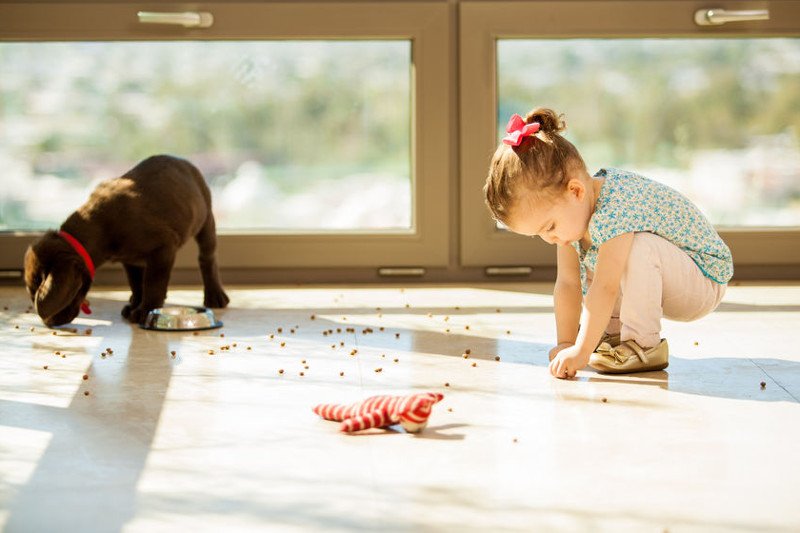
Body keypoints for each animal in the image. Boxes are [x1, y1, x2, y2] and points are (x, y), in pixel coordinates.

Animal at [24, 154, 228, 326]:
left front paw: (146, 310)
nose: (49, 324)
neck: (99, 226)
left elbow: (154, 284)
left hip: (206, 219)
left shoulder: (163, 248)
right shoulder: (130, 260)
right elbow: (137, 284)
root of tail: (183, 160)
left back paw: (215, 295)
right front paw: (136, 304)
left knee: (207, 258)